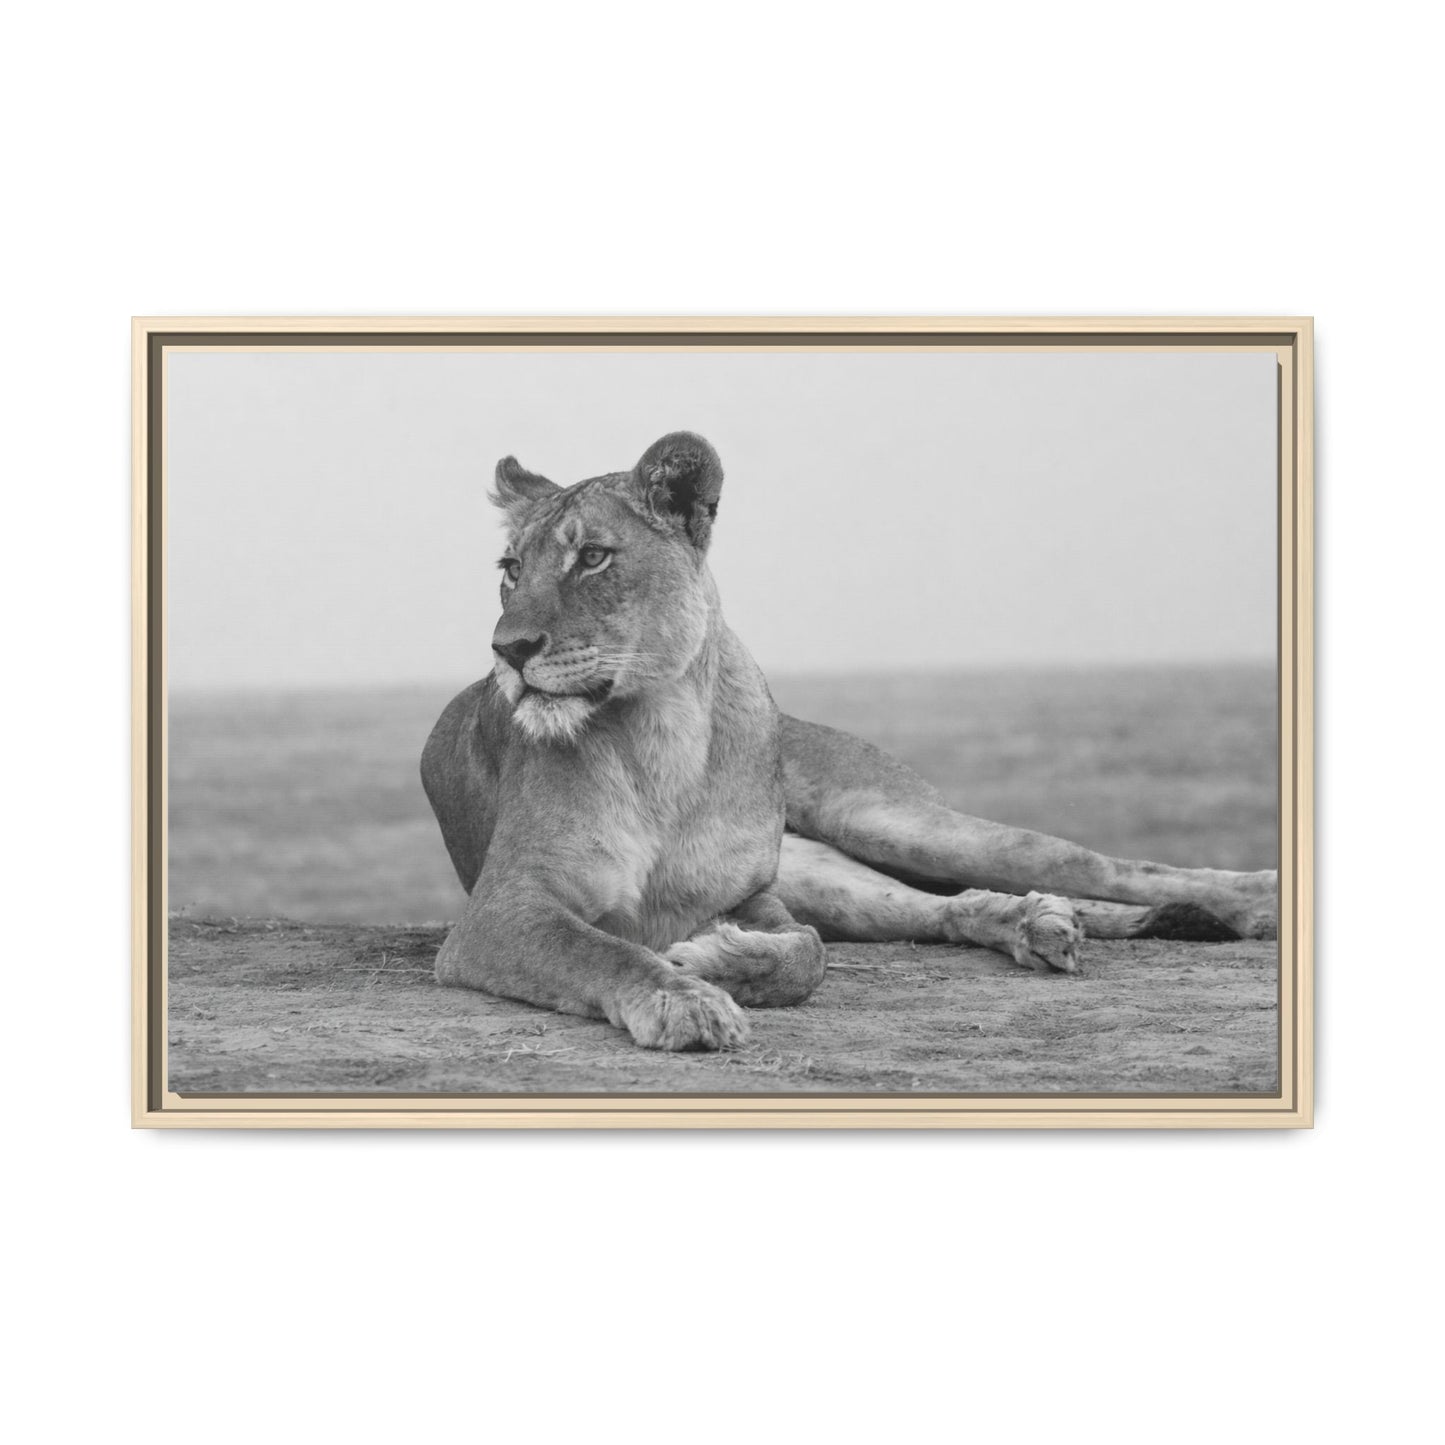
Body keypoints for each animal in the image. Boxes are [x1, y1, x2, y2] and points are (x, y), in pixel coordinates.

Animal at [421, 431, 1279, 1051]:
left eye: (593, 557)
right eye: (510, 567)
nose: (508, 649)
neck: (660, 737)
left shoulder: (750, 894)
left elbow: (807, 956)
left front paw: (708, 960)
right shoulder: (502, 910)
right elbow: (606, 948)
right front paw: (685, 997)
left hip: (884, 818)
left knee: (1096, 865)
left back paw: (1253, 897)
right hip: (832, 872)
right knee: (947, 906)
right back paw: (1036, 922)